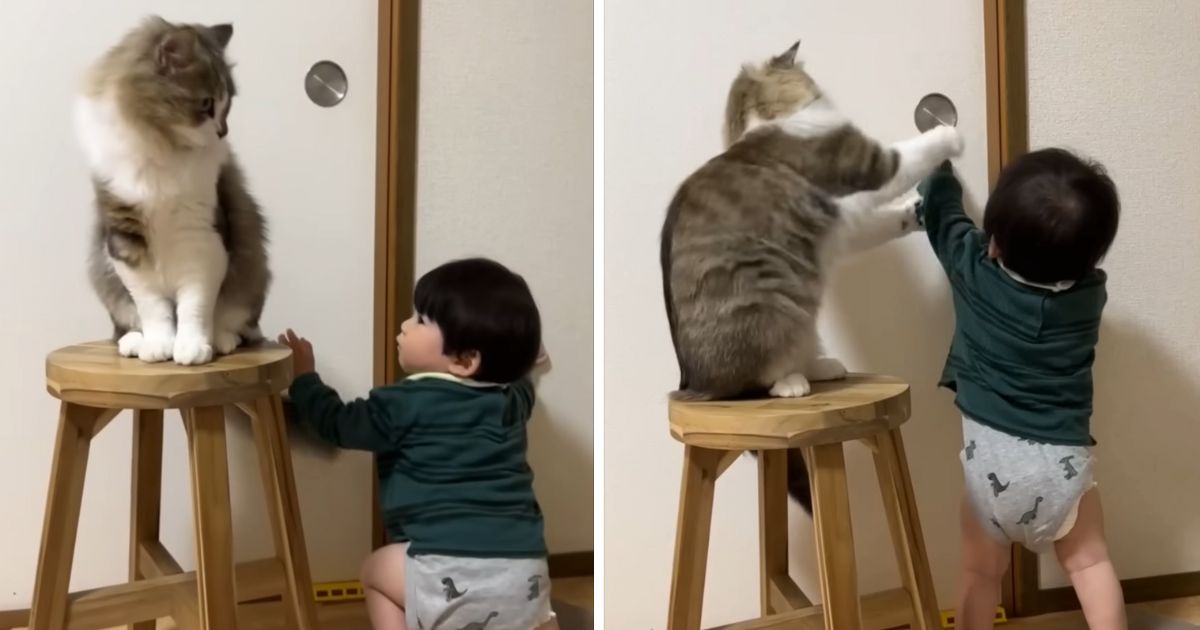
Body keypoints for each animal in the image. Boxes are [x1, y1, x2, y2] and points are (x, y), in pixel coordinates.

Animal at [77, 14, 270, 362]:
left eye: (228, 105)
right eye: (206, 104)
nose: (222, 132)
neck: (162, 149)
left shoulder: (203, 240)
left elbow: (195, 305)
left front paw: (192, 347)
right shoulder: (125, 241)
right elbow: (153, 308)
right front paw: (158, 346)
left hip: (252, 274)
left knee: (240, 326)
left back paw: (222, 340)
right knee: (124, 326)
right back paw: (134, 343)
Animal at [662, 39, 960, 508]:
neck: (768, 123)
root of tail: (694, 385)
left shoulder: (845, 225)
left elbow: (884, 220)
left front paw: (915, 211)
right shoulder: (868, 163)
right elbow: (913, 151)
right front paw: (950, 136)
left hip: (805, 315)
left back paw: (823, 365)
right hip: (774, 306)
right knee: (762, 378)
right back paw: (792, 383)